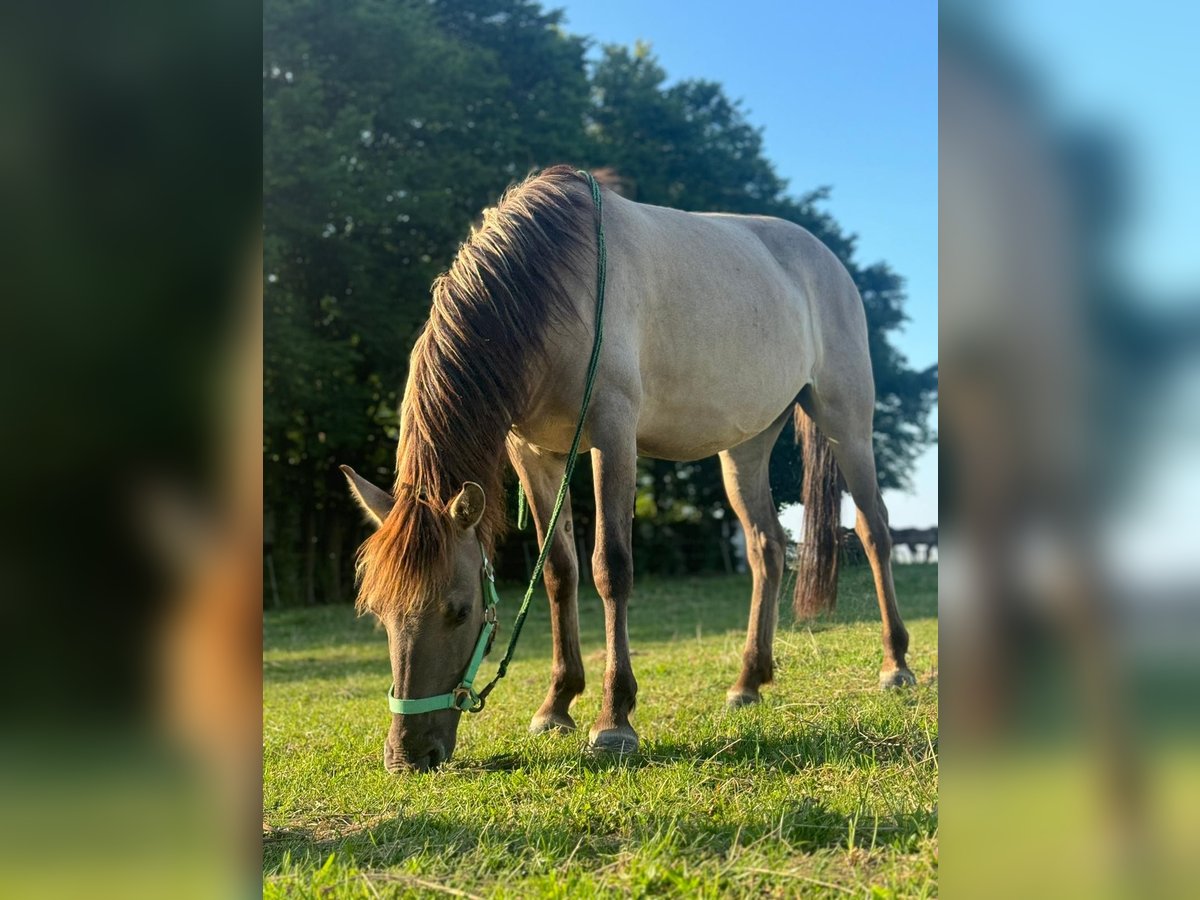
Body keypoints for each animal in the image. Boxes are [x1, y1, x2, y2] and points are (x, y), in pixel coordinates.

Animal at [338, 169, 907, 777]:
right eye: (380, 614)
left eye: (458, 610)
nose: (407, 755)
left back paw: (896, 665)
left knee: (873, 531)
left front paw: (614, 720)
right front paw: (556, 705)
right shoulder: (533, 454)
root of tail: (828, 260)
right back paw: (747, 682)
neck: (555, 283)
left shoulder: (611, 435)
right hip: (746, 445)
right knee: (766, 547)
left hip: (846, 423)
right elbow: (559, 571)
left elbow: (610, 567)